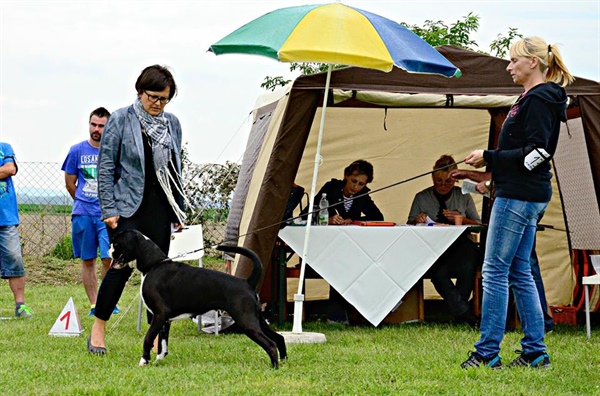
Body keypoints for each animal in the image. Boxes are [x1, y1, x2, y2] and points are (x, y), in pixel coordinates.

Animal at [110, 229, 288, 368]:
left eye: (116, 243)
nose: (109, 250)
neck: (154, 264)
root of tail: (247, 282)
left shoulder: (159, 315)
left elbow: (148, 338)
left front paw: (143, 361)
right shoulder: (165, 320)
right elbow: (162, 342)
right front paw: (158, 359)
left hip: (246, 321)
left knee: (270, 344)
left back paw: (274, 367)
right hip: (257, 319)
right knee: (279, 338)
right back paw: (284, 362)